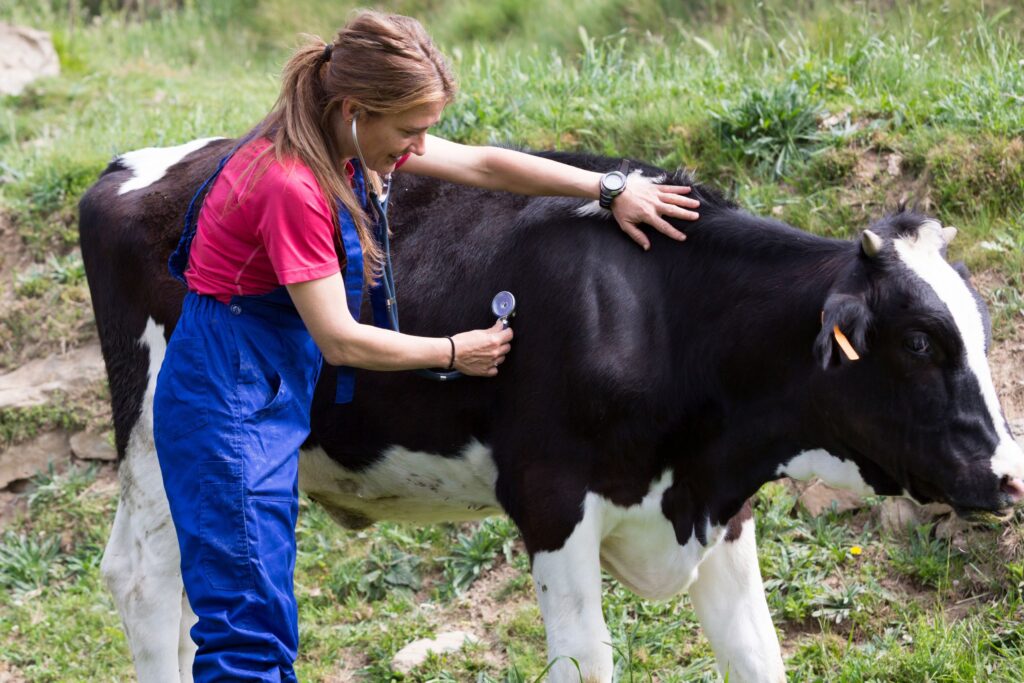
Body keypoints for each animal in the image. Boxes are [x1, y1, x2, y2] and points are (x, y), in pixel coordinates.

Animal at [79, 139, 1024, 683]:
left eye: (978, 331)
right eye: (918, 343)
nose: (1011, 477)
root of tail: (129, 169)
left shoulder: (721, 508)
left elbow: (757, 653)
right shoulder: (550, 499)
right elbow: (587, 660)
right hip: (162, 431)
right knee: (145, 581)